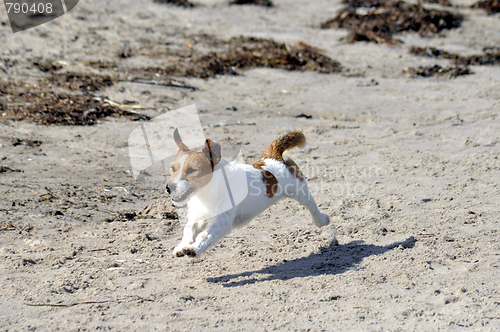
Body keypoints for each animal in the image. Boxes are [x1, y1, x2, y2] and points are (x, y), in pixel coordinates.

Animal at [168, 128, 330, 258]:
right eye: (173, 168)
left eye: (191, 170)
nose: (169, 187)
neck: (206, 194)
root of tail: (272, 157)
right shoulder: (197, 217)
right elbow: (189, 230)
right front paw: (182, 246)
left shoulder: (221, 222)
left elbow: (205, 235)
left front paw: (194, 248)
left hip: (300, 190)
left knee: (312, 206)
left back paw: (321, 220)